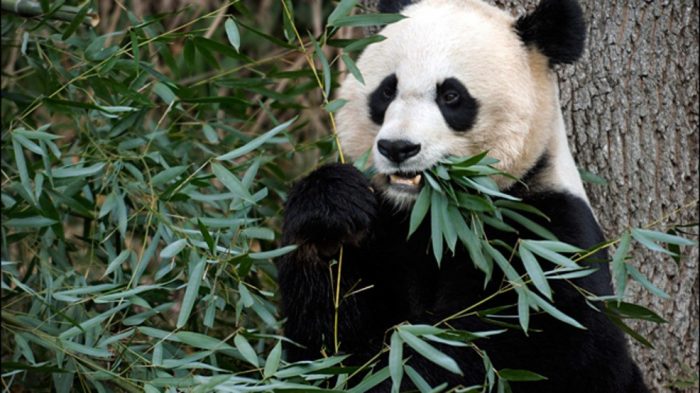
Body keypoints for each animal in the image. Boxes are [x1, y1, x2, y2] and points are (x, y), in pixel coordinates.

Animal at [276, 0, 648, 392]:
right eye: (387, 91)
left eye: (451, 96)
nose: (398, 148)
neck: (434, 216)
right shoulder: (387, 230)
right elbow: (325, 338)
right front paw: (332, 213)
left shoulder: (545, 239)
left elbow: (514, 343)